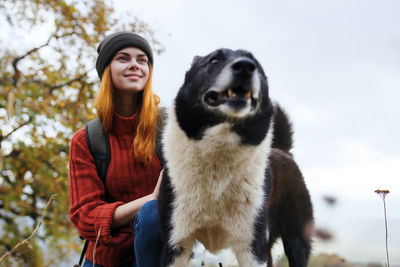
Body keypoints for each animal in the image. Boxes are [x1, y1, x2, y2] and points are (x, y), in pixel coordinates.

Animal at [158, 48, 314, 267]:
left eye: (256, 64)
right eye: (214, 60)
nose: (246, 66)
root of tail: (282, 150)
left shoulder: (251, 249)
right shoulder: (176, 244)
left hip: (295, 239)